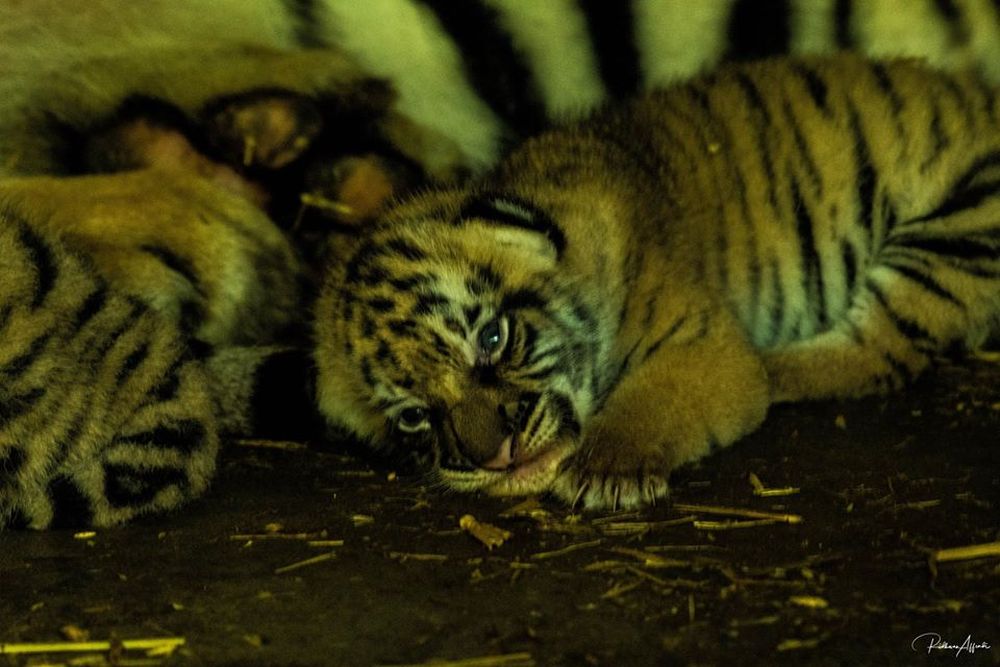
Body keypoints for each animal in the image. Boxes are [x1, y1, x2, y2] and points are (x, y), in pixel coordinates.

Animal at [313, 54, 1000, 510]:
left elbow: (654, 397)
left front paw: (605, 467)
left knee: (882, 351)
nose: (495, 458)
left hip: (960, 219)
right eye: (412, 417)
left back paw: (776, 366)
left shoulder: (703, 344)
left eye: (491, 340)